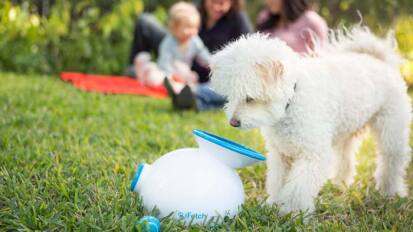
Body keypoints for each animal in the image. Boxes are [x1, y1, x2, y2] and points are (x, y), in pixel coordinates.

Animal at [211, 28, 410, 215]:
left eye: (249, 98)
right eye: (230, 96)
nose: (233, 123)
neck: (292, 99)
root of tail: (379, 60)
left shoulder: (313, 155)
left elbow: (297, 190)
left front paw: (292, 212)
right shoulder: (281, 154)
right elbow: (277, 182)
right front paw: (273, 204)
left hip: (391, 130)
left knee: (391, 160)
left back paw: (390, 191)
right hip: (348, 131)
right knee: (345, 157)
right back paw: (341, 183)